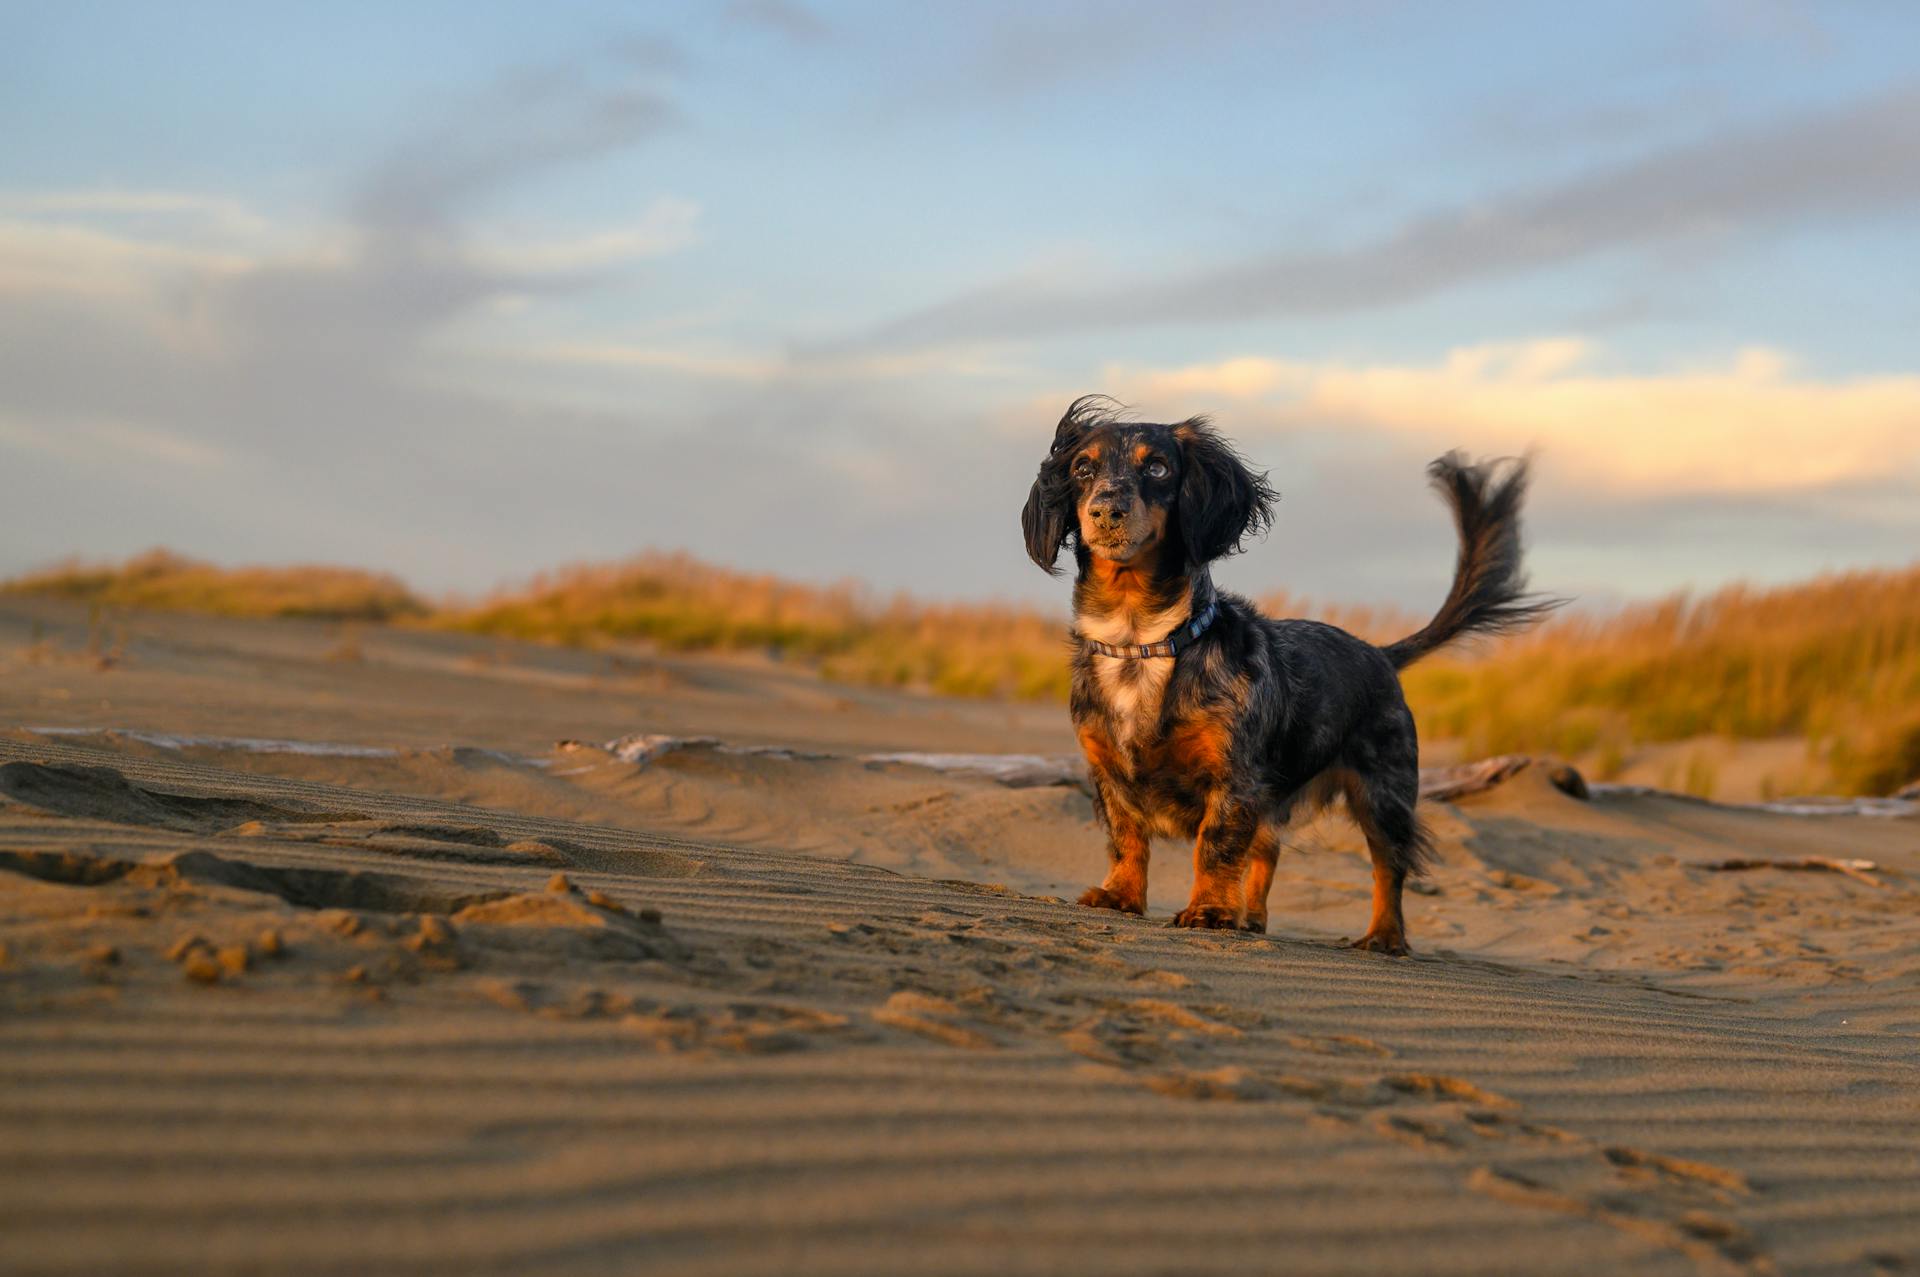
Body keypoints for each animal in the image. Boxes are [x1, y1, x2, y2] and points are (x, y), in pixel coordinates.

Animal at [1029, 393, 1551, 952]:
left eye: (1159, 467)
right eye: (1083, 469)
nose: (1105, 510)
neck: (1142, 641)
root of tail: (1379, 653)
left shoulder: (1235, 778)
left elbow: (1215, 846)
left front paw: (1208, 909)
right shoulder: (1107, 771)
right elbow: (1126, 839)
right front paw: (1122, 895)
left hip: (1384, 794)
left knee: (1388, 868)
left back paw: (1384, 935)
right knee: (1268, 851)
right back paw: (1251, 917)